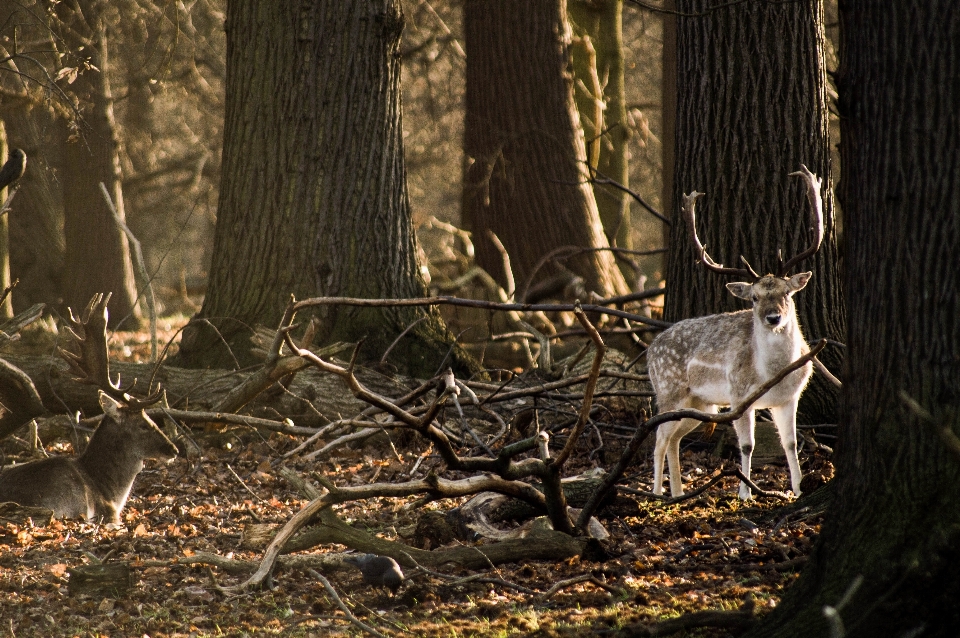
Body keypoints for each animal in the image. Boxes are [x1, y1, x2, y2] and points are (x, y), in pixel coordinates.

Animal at [648, 165, 820, 500]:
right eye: (753, 297)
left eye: (787, 293)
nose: (773, 317)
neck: (773, 373)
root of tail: (649, 349)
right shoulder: (740, 395)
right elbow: (747, 445)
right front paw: (745, 493)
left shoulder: (789, 398)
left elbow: (791, 443)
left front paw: (798, 489)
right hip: (669, 391)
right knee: (659, 438)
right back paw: (658, 493)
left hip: (701, 403)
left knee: (674, 439)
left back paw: (678, 492)